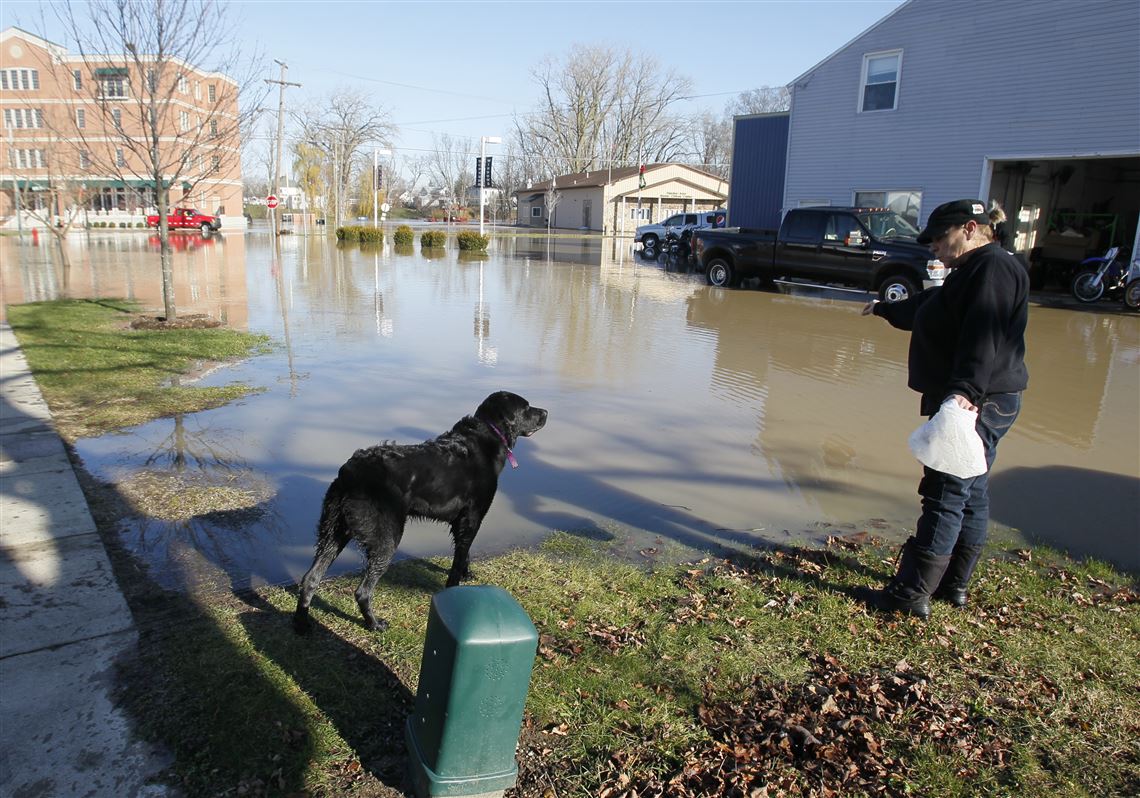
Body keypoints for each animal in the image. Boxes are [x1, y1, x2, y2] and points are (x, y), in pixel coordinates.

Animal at [291, 389, 544, 633]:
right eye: (527, 407)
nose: (546, 412)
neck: (485, 437)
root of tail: (349, 473)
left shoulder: (463, 520)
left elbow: (464, 552)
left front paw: (466, 573)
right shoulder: (472, 517)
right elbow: (459, 558)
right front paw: (455, 589)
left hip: (335, 531)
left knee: (310, 579)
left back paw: (302, 624)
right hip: (386, 539)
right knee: (362, 591)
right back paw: (374, 625)